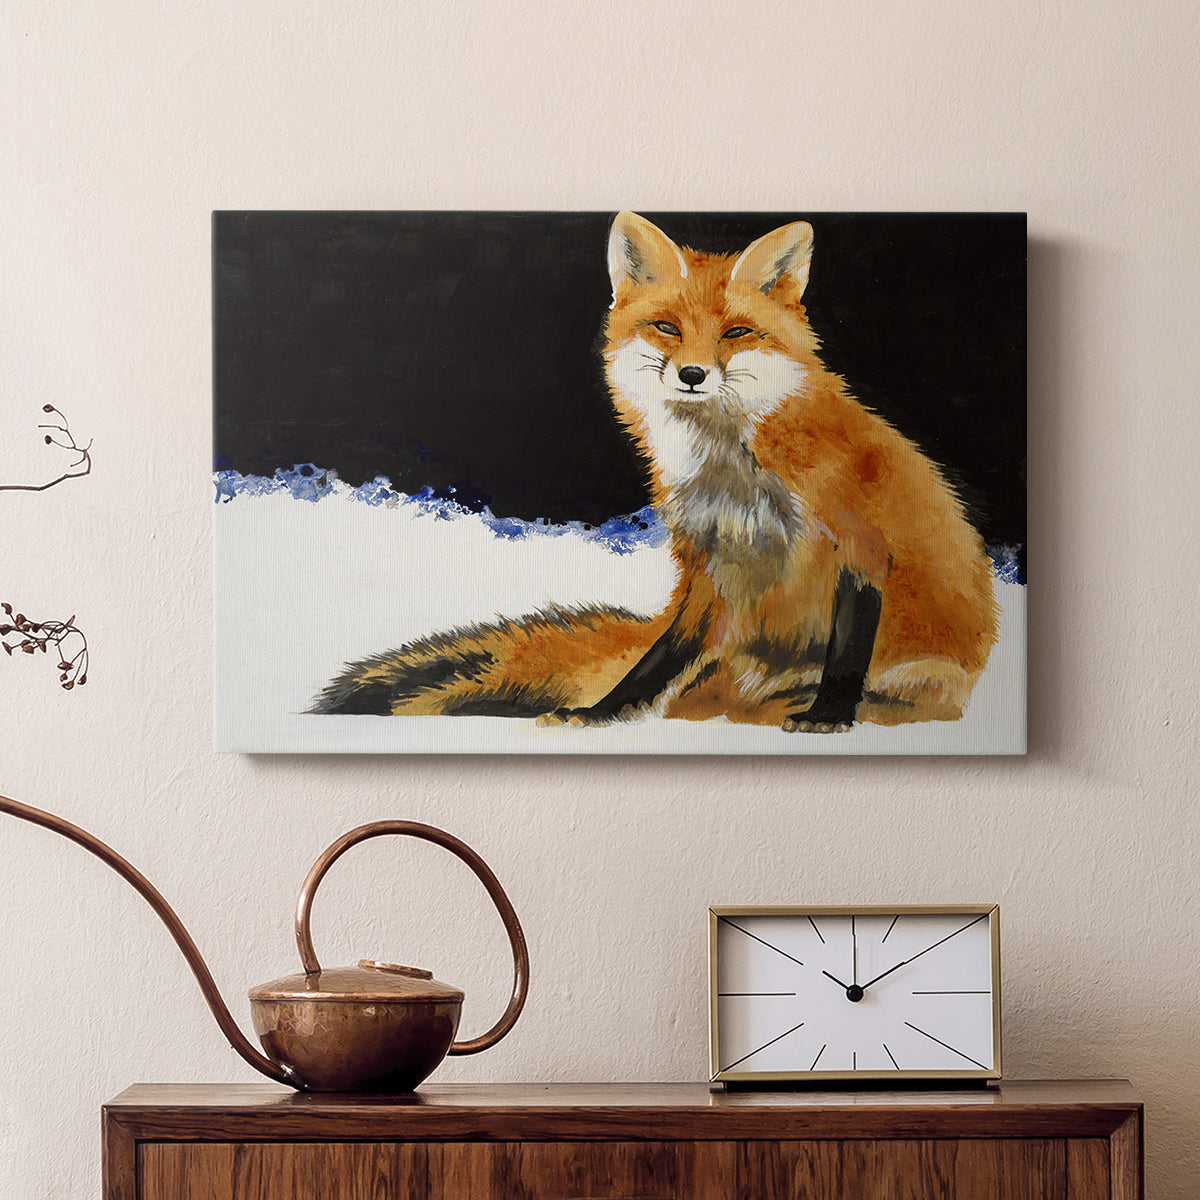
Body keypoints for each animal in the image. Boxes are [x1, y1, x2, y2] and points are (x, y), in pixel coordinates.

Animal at [312, 212, 999, 732]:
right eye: (667, 327)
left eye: (737, 332)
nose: (693, 374)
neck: (734, 470)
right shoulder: (707, 561)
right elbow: (658, 658)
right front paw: (602, 712)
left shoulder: (859, 542)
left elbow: (848, 648)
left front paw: (829, 715)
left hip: (923, 677)